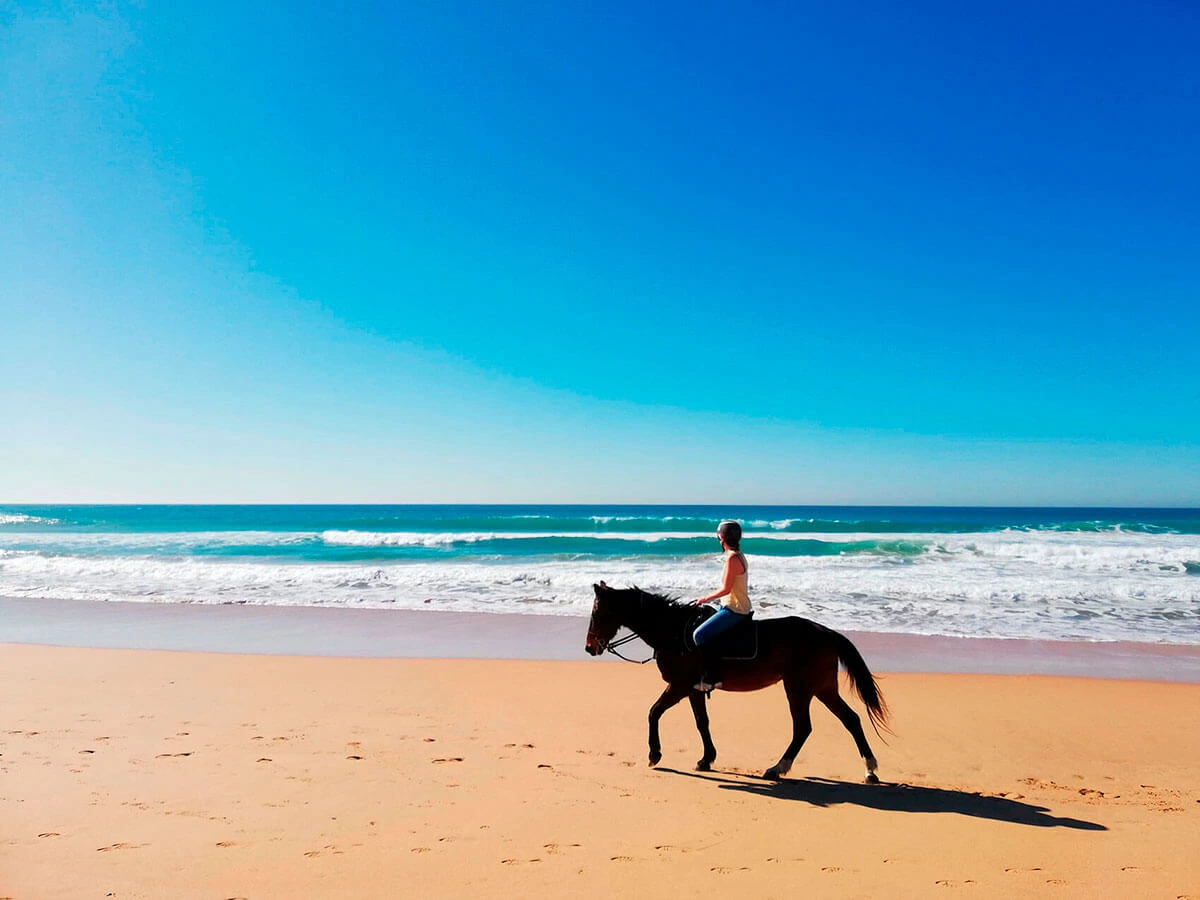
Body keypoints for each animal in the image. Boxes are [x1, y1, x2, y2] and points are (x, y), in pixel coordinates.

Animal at [584, 581, 890, 782]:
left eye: (598, 612)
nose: (589, 647)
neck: (673, 631)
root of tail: (827, 632)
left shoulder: (680, 686)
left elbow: (653, 712)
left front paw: (654, 754)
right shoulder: (694, 690)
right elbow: (702, 722)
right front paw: (706, 758)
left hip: (799, 688)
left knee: (803, 727)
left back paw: (777, 768)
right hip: (823, 688)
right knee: (850, 719)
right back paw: (869, 769)